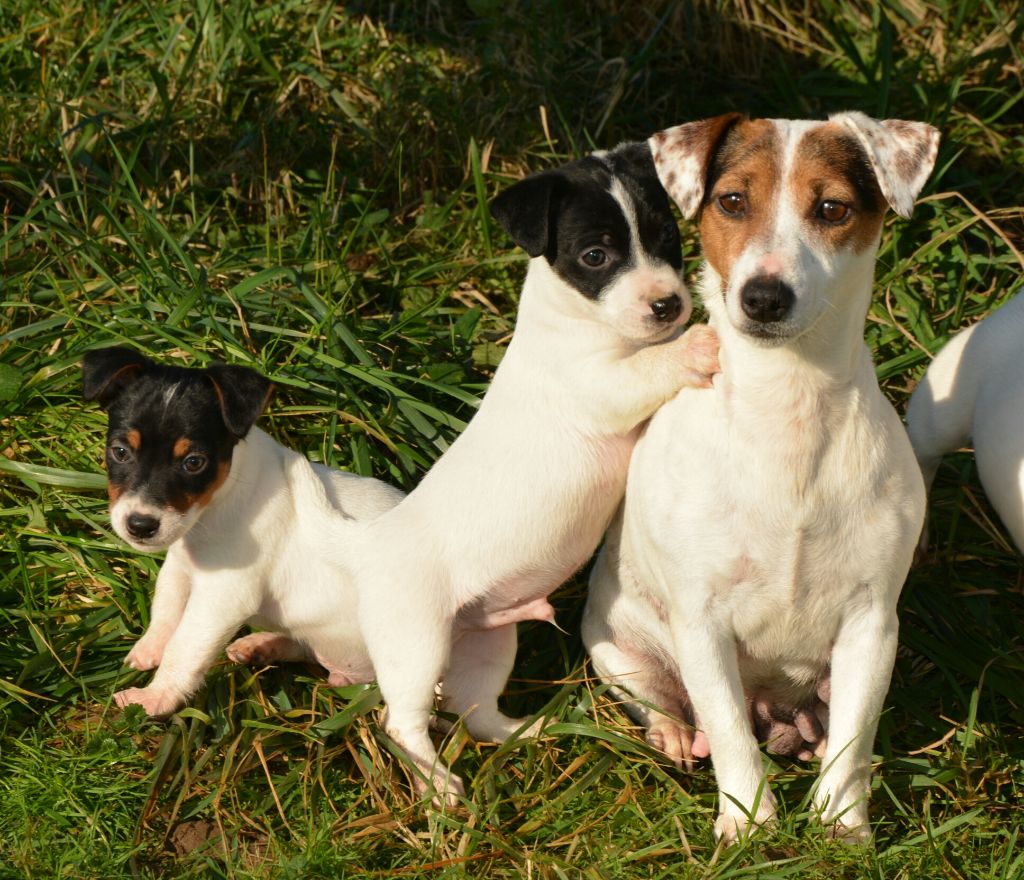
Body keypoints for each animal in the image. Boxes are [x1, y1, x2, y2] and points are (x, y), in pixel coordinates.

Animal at [321, 142, 720, 807]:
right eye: (595, 256)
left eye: (667, 237)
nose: (669, 304)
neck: (581, 318)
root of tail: (367, 543)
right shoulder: (599, 387)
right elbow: (648, 369)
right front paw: (694, 346)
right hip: (415, 641)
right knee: (401, 722)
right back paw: (438, 788)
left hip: (485, 643)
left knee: (477, 713)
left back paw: (530, 731)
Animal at [585, 113, 942, 844]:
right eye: (731, 201)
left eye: (832, 208)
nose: (764, 296)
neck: (790, 408)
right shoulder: (701, 621)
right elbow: (726, 730)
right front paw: (748, 826)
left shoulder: (871, 625)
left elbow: (854, 741)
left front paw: (842, 828)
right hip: (615, 648)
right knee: (672, 707)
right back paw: (673, 734)